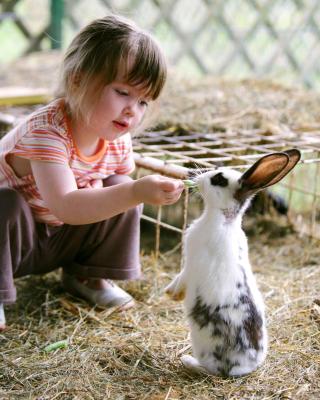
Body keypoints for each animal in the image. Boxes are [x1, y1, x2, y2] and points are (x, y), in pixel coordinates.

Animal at [166, 148, 302, 376]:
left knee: (209, 370)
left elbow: (181, 277)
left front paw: (172, 293)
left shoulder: (191, 263)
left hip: (204, 348)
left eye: (218, 179)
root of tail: (242, 367)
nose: (195, 176)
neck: (224, 219)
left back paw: (187, 361)